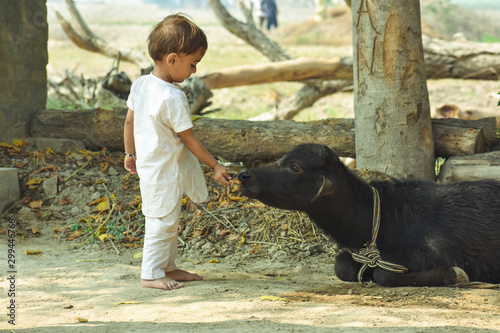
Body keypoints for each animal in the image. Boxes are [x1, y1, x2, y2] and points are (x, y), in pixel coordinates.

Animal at [238, 142, 500, 286]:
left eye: (294, 167)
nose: (244, 175)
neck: (388, 215)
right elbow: (342, 265)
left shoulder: (434, 252)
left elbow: (384, 273)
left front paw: (456, 274)